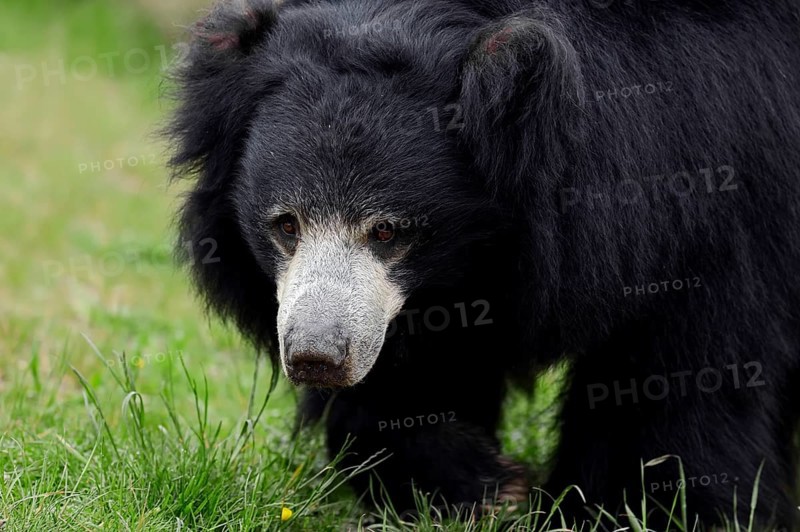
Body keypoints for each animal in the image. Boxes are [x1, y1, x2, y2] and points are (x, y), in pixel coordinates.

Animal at [165, 0, 800, 528]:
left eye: (389, 230)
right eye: (286, 225)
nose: (317, 358)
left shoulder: (715, 188)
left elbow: (682, 364)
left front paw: (638, 509)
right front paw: (475, 488)